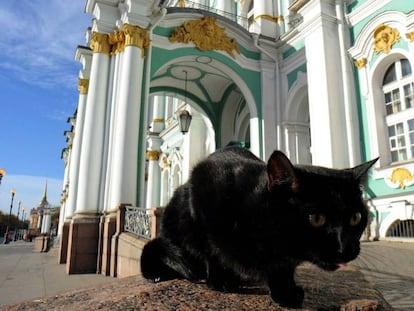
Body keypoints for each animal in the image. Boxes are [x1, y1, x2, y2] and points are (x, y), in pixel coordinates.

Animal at [141, 147, 376, 308]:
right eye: (316, 218)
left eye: (356, 217)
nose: (346, 248)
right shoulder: (203, 186)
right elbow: (212, 250)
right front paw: (220, 281)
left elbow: (283, 269)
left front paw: (285, 293)